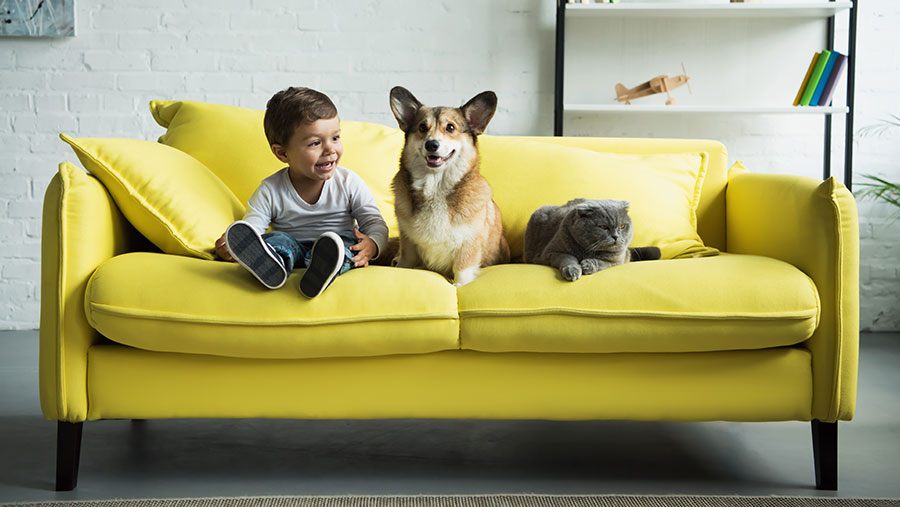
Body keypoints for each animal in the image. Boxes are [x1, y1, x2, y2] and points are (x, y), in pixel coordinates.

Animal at [388, 85, 510, 288]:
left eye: (450, 127)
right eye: (422, 127)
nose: (431, 144)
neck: (436, 187)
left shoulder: (469, 244)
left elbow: (462, 270)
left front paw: (459, 286)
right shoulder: (407, 242)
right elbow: (406, 261)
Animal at [520, 198, 660, 282]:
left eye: (622, 226)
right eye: (603, 227)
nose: (615, 236)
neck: (587, 250)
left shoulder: (617, 260)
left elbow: (602, 262)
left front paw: (588, 265)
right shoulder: (550, 253)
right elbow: (568, 258)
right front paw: (572, 271)